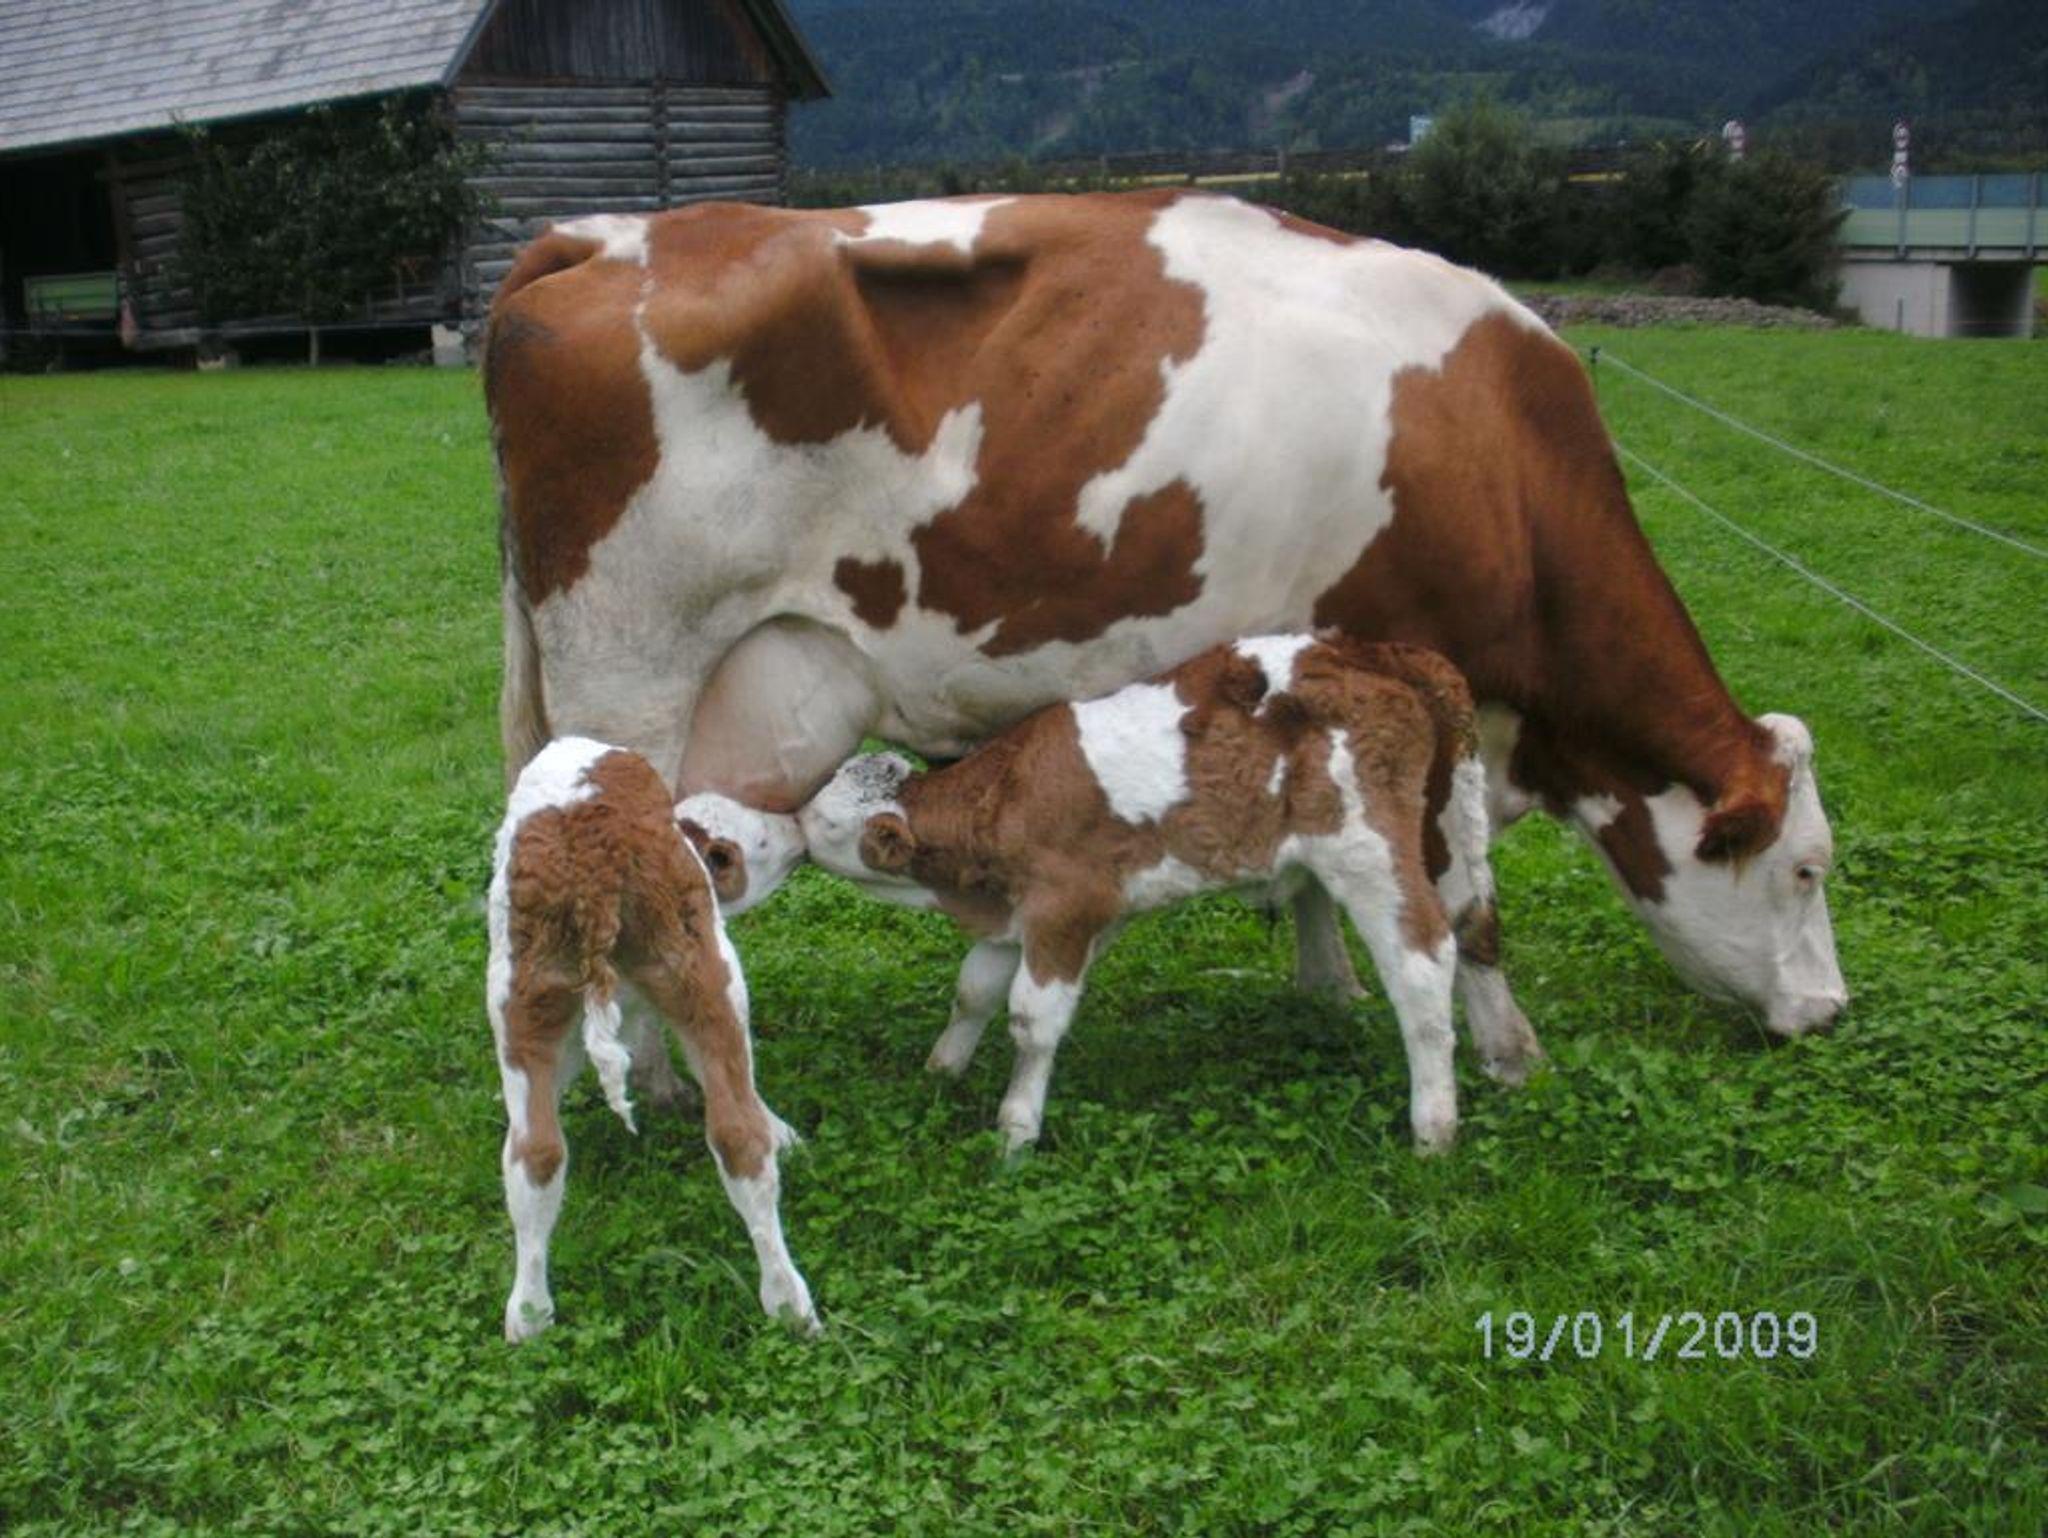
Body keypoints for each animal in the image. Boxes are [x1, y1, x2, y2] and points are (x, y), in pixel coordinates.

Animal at [484, 190, 1846, 1036]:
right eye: (1805, 868)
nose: (1828, 1012)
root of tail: (604, 234)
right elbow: (1453, 897)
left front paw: (1324, 988)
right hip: (630, 681)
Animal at [488, 737, 817, 1341]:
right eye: (758, 839)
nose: (795, 828)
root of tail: (589, 857)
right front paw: (782, 1130)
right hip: (708, 967)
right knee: (740, 1136)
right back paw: (792, 1304)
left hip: (522, 999)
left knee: (535, 1153)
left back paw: (529, 1317)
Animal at [792, 637, 1535, 1154]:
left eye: (825, 821)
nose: (791, 817)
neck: (1004, 796)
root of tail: (1377, 652)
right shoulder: (1019, 913)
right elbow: (973, 990)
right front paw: (941, 1070)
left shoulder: (1067, 907)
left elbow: (1032, 1020)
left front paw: (1015, 1131)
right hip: (1445, 825)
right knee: (1470, 925)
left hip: (1365, 848)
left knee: (1420, 963)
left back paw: (1433, 1129)